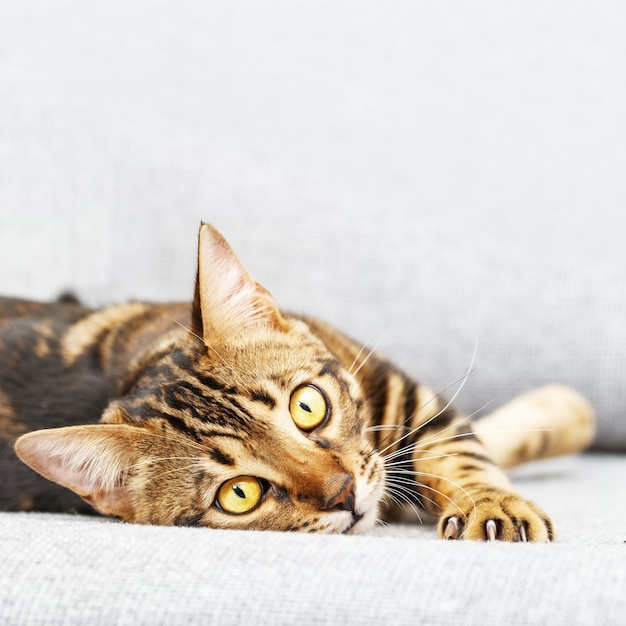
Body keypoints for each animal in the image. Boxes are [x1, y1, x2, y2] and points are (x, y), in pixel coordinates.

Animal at [0, 222, 596, 540]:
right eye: (240, 493)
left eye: (307, 407)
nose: (344, 494)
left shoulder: (403, 396)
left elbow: (463, 452)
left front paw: (495, 503)